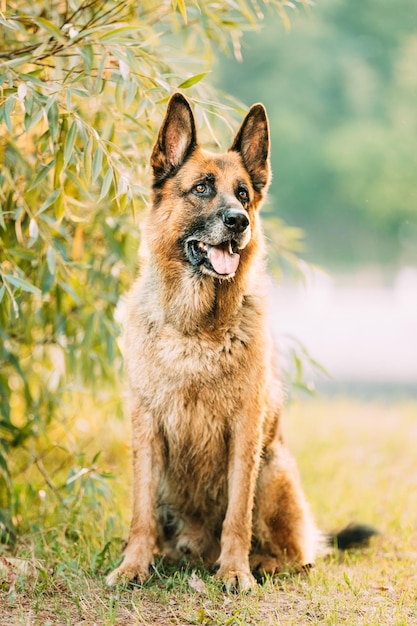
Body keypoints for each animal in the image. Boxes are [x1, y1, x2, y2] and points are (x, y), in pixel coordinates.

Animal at [106, 92, 374, 588]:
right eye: (201, 189)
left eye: (244, 193)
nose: (239, 221)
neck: (195, 329)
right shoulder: (146, 427)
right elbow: (140, 511)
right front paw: (134, 564)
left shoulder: (244, 431)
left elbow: (237, 513)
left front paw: (234, 571)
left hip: (273, 469)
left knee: (300, 553)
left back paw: (261, 562)